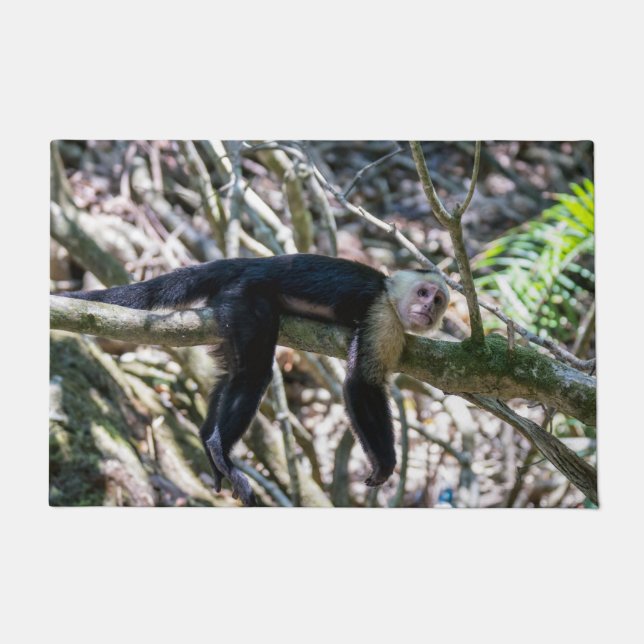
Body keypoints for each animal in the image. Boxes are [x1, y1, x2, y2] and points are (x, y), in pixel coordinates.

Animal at [59, 254, 449, 506]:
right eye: (423, 293)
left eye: (439, 300)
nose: (429, 310)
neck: (388, 292)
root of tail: (250, 262)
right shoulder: (382, 314)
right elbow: (361, 384)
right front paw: (385, 462)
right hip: (245, 297)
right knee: (254, 373)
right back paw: (222, 450)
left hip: (227, 309)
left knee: (231, 374)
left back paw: (209, 445)